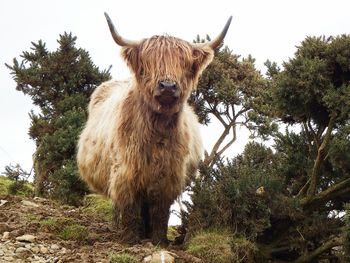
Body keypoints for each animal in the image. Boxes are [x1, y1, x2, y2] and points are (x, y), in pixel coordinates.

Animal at [78, 12, 234, 245]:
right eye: (148, 62)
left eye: (184, 64)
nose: (168, 86)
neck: (157, 132)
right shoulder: (126, 171)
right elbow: (130, 207)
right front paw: (130, 238)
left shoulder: (168, 176)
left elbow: (160, 211)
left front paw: (159, 240)